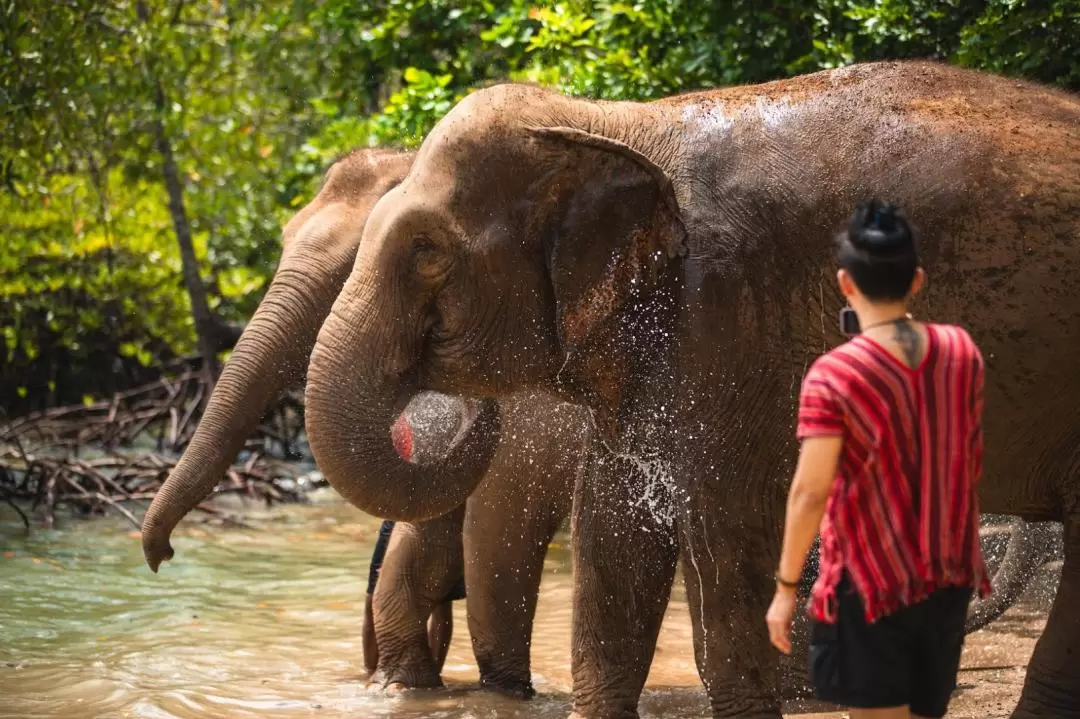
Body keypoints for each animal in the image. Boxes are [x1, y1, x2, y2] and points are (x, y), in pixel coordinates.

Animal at [298, 62, 1080, 716]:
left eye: (427, 251)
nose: (462, 407)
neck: (619, 123)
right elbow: (612, 535)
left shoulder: (728, 313)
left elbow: (721, 537)